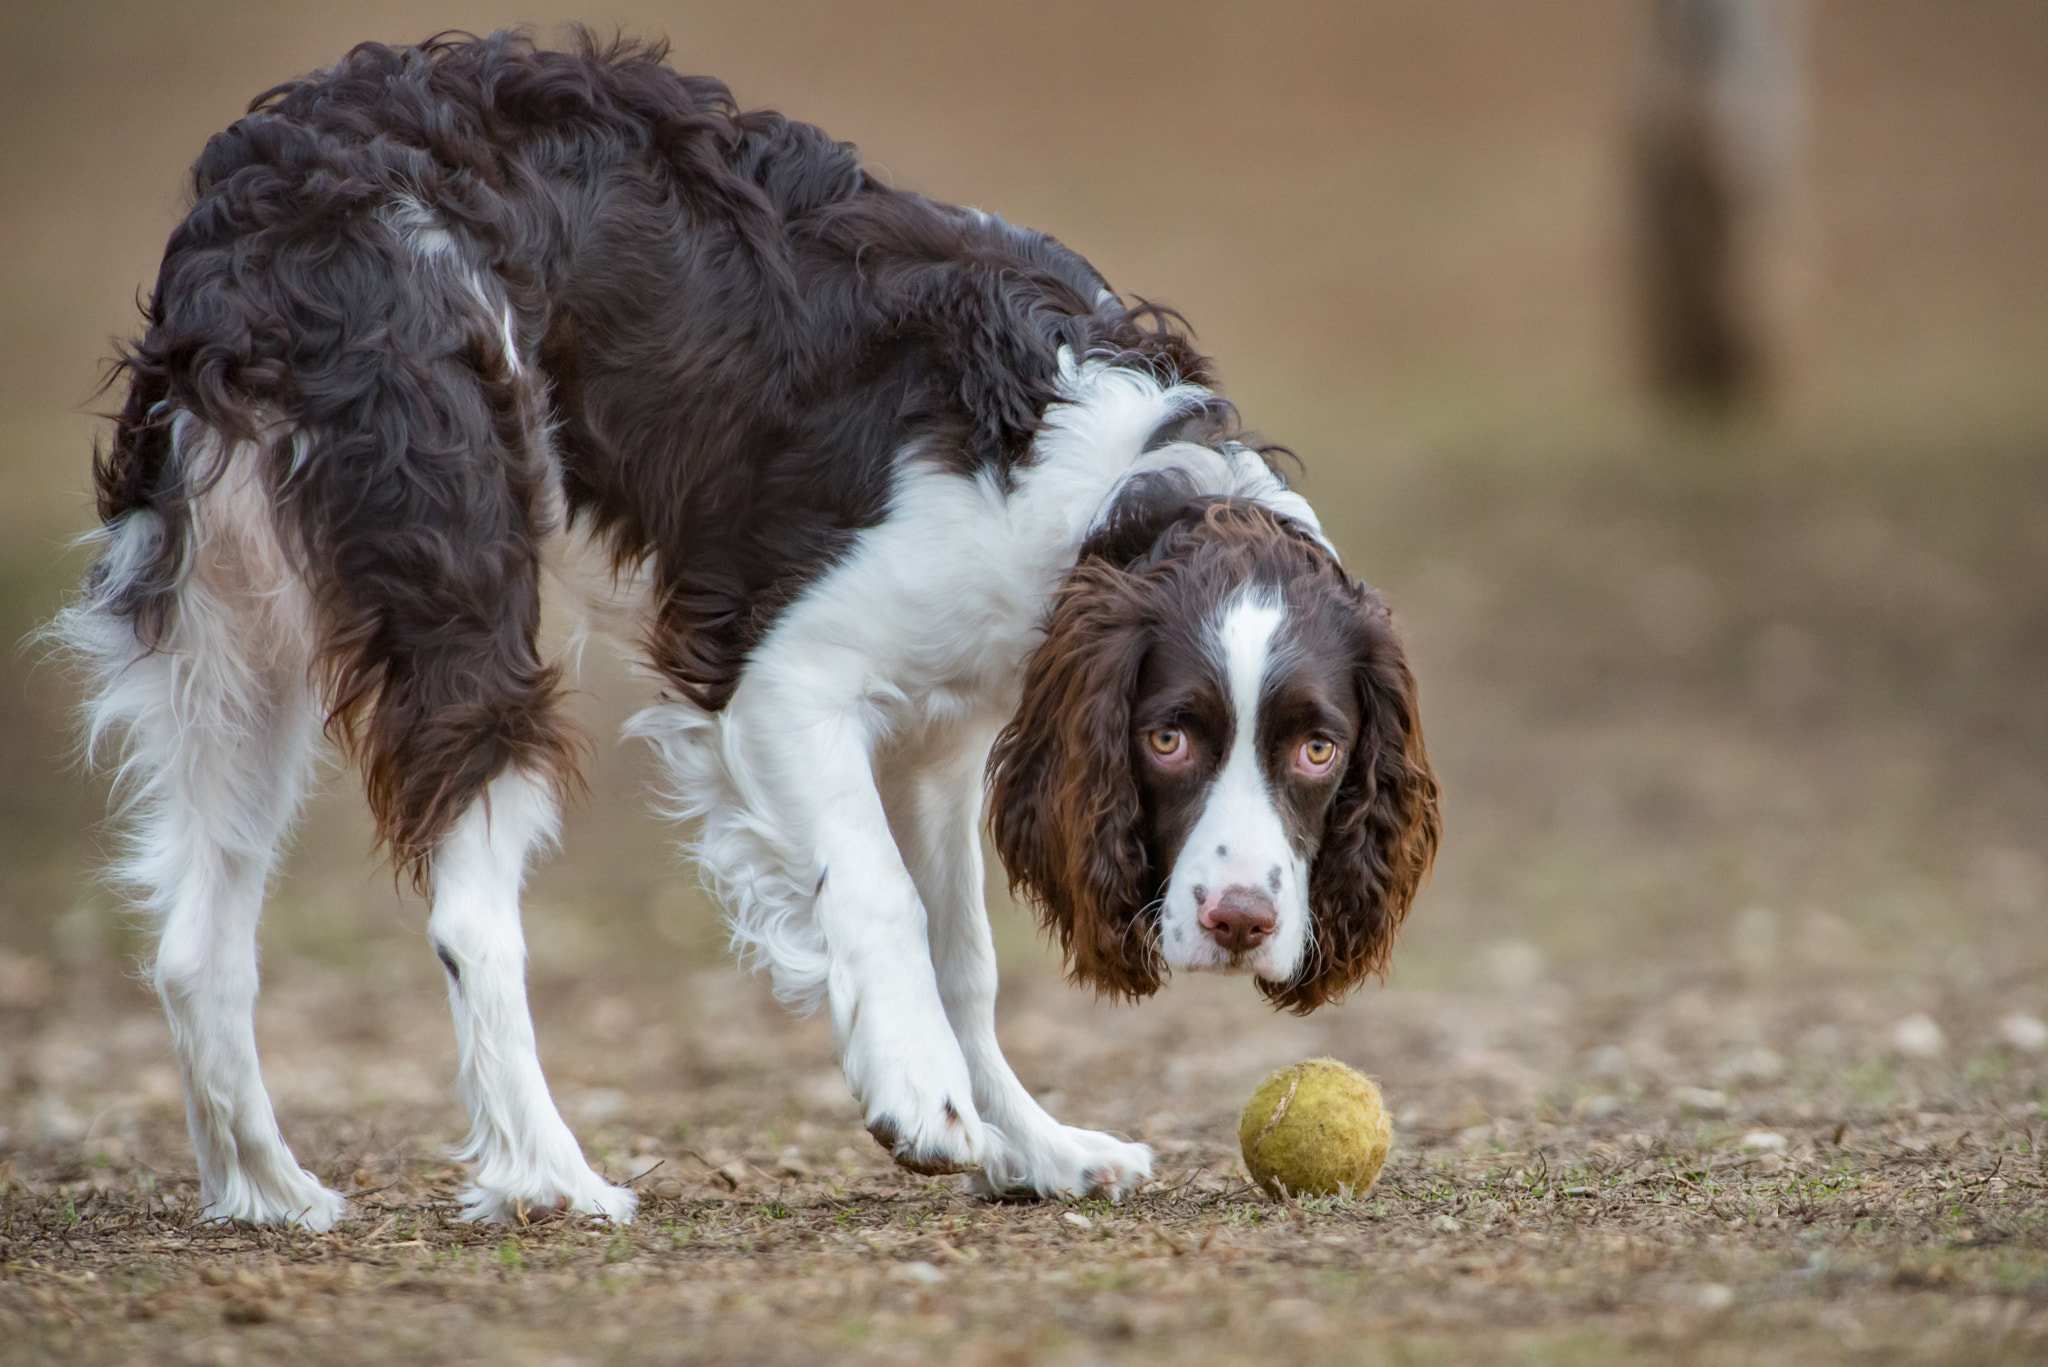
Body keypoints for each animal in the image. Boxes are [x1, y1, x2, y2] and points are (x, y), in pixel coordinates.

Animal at [51, 32, 1441, 1229]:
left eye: (1316, 750)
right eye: (1168, 737)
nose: (1242, 922)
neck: (1114, 482)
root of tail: (261, 175)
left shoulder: (943, 739)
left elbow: (963, 952)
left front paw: (1028, 1143)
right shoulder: (787, 681)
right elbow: (878, 895)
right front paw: (919, 1097)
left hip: (238, 632)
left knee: (195, 940)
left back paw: (266, 1189)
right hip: (460, 580)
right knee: (468, 914)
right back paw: (550, 1174)